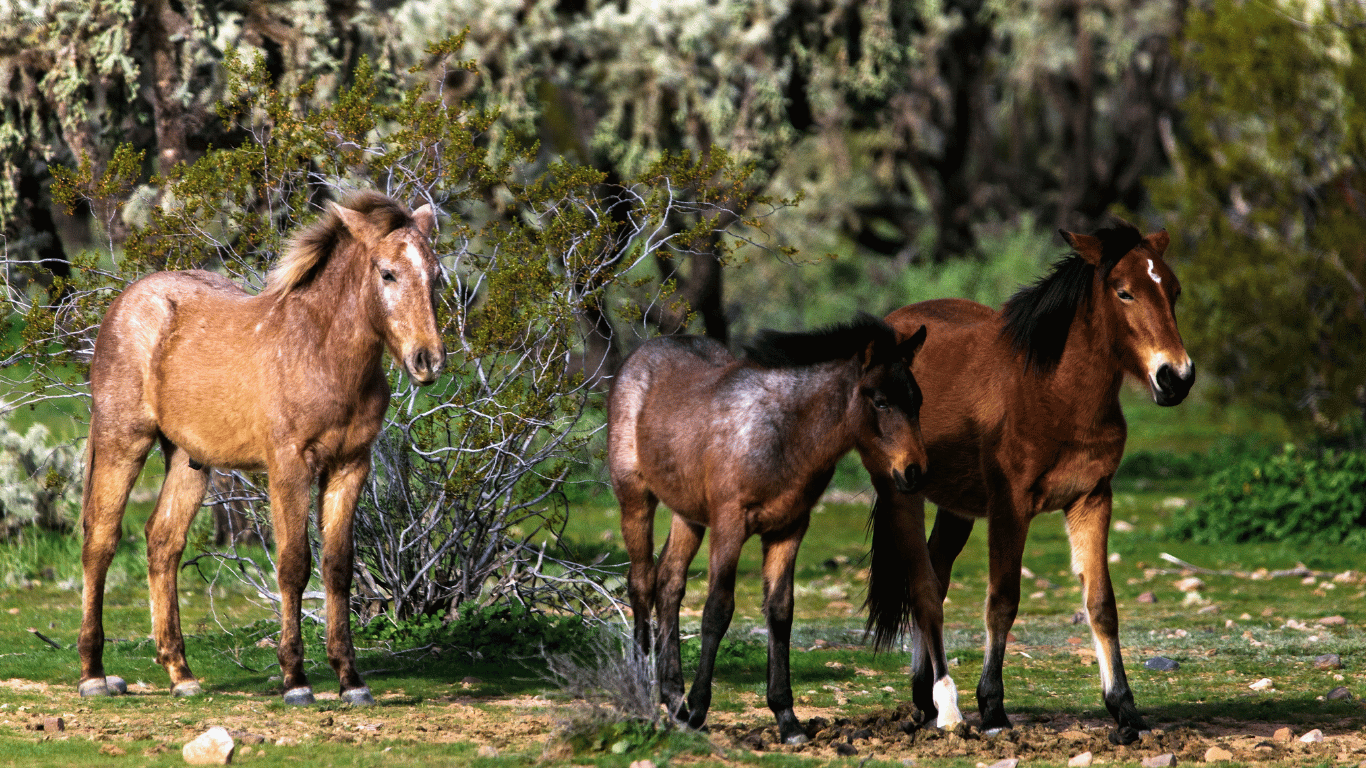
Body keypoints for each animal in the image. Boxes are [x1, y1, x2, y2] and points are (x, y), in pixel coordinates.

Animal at [77, 191, 446, 705]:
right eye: (388, 273)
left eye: (435, 274)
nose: (428, 360)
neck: (323, 354)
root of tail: (124, 302)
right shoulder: (289, 465)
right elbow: (293, 565)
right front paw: (296, 679)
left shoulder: (350, 465)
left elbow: (338, 567)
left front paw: (350, 679)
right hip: (122, 441)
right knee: (101, 540)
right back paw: (93, 673)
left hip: (190, 461)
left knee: (163, 542)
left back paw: (181, 673)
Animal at [609, 313, 963, 745]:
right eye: (880, 401)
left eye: (918, 400)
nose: (914, 473)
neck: (783, 433)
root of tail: (639, 357)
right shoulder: (730, 525)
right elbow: (717, 610)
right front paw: (698, 710)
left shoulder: (788, 529)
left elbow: (780, 612)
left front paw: (787, 718)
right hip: (635, 497)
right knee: (642, 581)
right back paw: (646, 690)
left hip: (687, 515)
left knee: (669, 583)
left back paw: (672, 696)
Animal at [865, 220, 1193, 744]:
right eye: (1123, 292)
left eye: (1174, 290)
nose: (1176, 378)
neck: (1054, 393)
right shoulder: (1010, 507)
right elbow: (1002, 600)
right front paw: (993, 708)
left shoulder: (1092, 498)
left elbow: (1101, 603)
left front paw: (1125, 710)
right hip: (903, 492)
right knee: (922, 587)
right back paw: (940, 704)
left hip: (956, 508)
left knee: (935, 577)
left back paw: (924, 695)